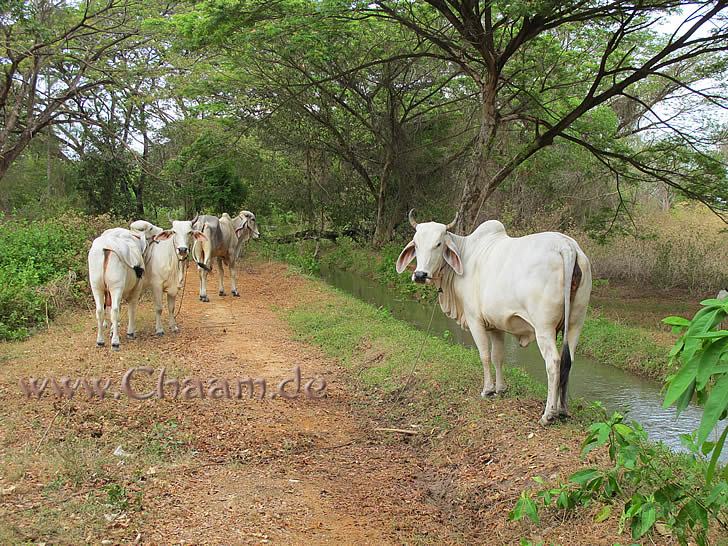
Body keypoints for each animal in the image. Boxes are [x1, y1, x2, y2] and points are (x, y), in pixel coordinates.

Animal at [398, 210, 592, 422]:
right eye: (416, 243)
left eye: (438, 243)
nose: (420, 275)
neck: (466, 254)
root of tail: (567, 246)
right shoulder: (496, 325)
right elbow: (497, 356)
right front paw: (500, 389)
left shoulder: (475, 320)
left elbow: (484, 355)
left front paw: (488, 390)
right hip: (575, 324)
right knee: (568, 360)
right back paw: (562, 409)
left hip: (544, 328)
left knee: (554, 362)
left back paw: (548, 413)